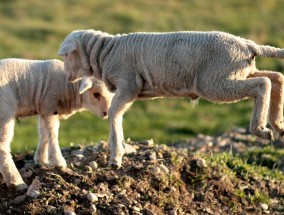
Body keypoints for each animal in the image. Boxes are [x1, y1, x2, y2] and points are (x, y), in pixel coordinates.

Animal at [0, 58, 113, 190]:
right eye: (96, 94)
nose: (106, 113)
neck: (68, 86)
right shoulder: (50, 105)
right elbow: (52, 132)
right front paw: (58, 162)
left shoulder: (44, 108)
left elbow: (43, 132)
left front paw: (41, 160)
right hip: (5, 111)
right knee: (3, 146)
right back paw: (16, 182)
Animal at [57, 29, 284, 168]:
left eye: (67, 56)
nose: (66, 77)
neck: (104, 52)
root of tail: (248, 45)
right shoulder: (127, 89)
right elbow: (116, 115)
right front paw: (117, 152)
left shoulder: (128, 84)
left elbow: (113, 113)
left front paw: (115, 157)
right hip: (238, 72)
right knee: (275, 77)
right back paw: (277, 124)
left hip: (216, 81)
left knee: (263, 84)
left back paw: (261, 129)